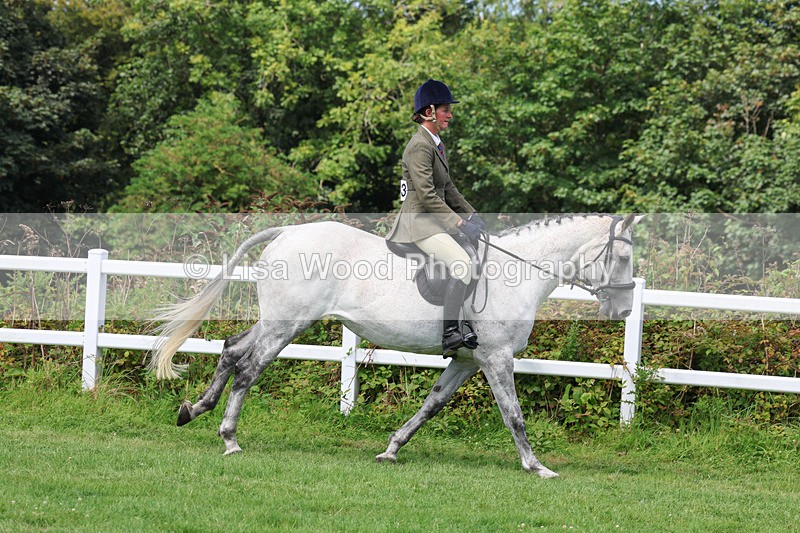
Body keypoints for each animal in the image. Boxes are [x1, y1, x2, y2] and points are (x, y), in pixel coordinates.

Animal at [151, 213, 641, 478]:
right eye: (622, 257)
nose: (622, 311)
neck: (515, 276)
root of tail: (289, 232)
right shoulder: (497, 358)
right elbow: (514, 416)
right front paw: (537, 466)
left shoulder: (467, 360)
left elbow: (432, 404)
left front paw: (391, 448)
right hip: (287, 324)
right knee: (249, 369)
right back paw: (229, 438)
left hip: (279, 320)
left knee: (233, 350)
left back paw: (193, 409)